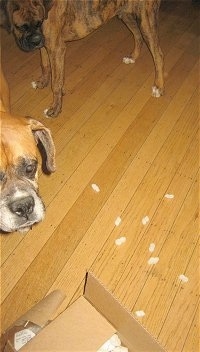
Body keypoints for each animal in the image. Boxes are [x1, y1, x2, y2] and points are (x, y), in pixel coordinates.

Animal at [0, 0, 164, 118]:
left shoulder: (56, 49)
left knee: (158, 55)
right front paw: (42, 83)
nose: (35, 40)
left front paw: (55, 109)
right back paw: (133, 57)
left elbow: (56, 83)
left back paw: (159, 86)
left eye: (38, 22)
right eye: (20, 27)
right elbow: (45, 65)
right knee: (137, 36)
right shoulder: (45, 45)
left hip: (146, 21)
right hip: (126, 14)